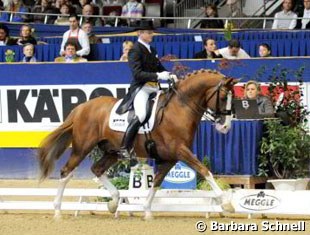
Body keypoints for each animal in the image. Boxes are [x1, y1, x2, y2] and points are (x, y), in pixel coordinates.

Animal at [37, 69, 237, 219]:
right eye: (223, 98)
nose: (226, 127)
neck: (180, 108)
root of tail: (80, 108)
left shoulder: (170, 158)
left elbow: (156, 182)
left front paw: (147, 210)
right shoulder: (181, 151)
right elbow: (205, 170)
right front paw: (227, 203)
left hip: (112, 151)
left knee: (97, 169)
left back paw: (114, 202)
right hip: (82, 148)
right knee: (66, 172)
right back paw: (57, 210)